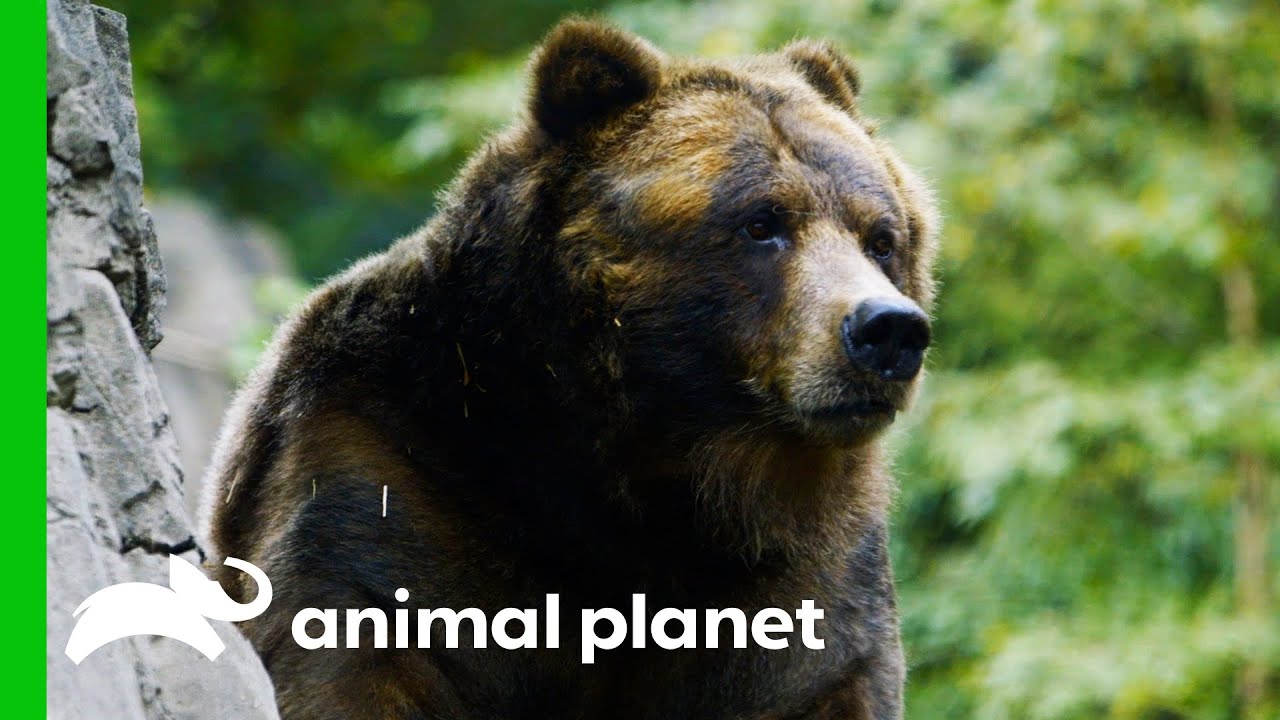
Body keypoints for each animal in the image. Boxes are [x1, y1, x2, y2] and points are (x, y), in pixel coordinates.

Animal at [202, 18, 938, 720]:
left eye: (882, 238)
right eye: (761, 222)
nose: (888, 330)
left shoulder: (803, 567)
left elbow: (824, 675)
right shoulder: (387, 473)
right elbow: (346, 639)